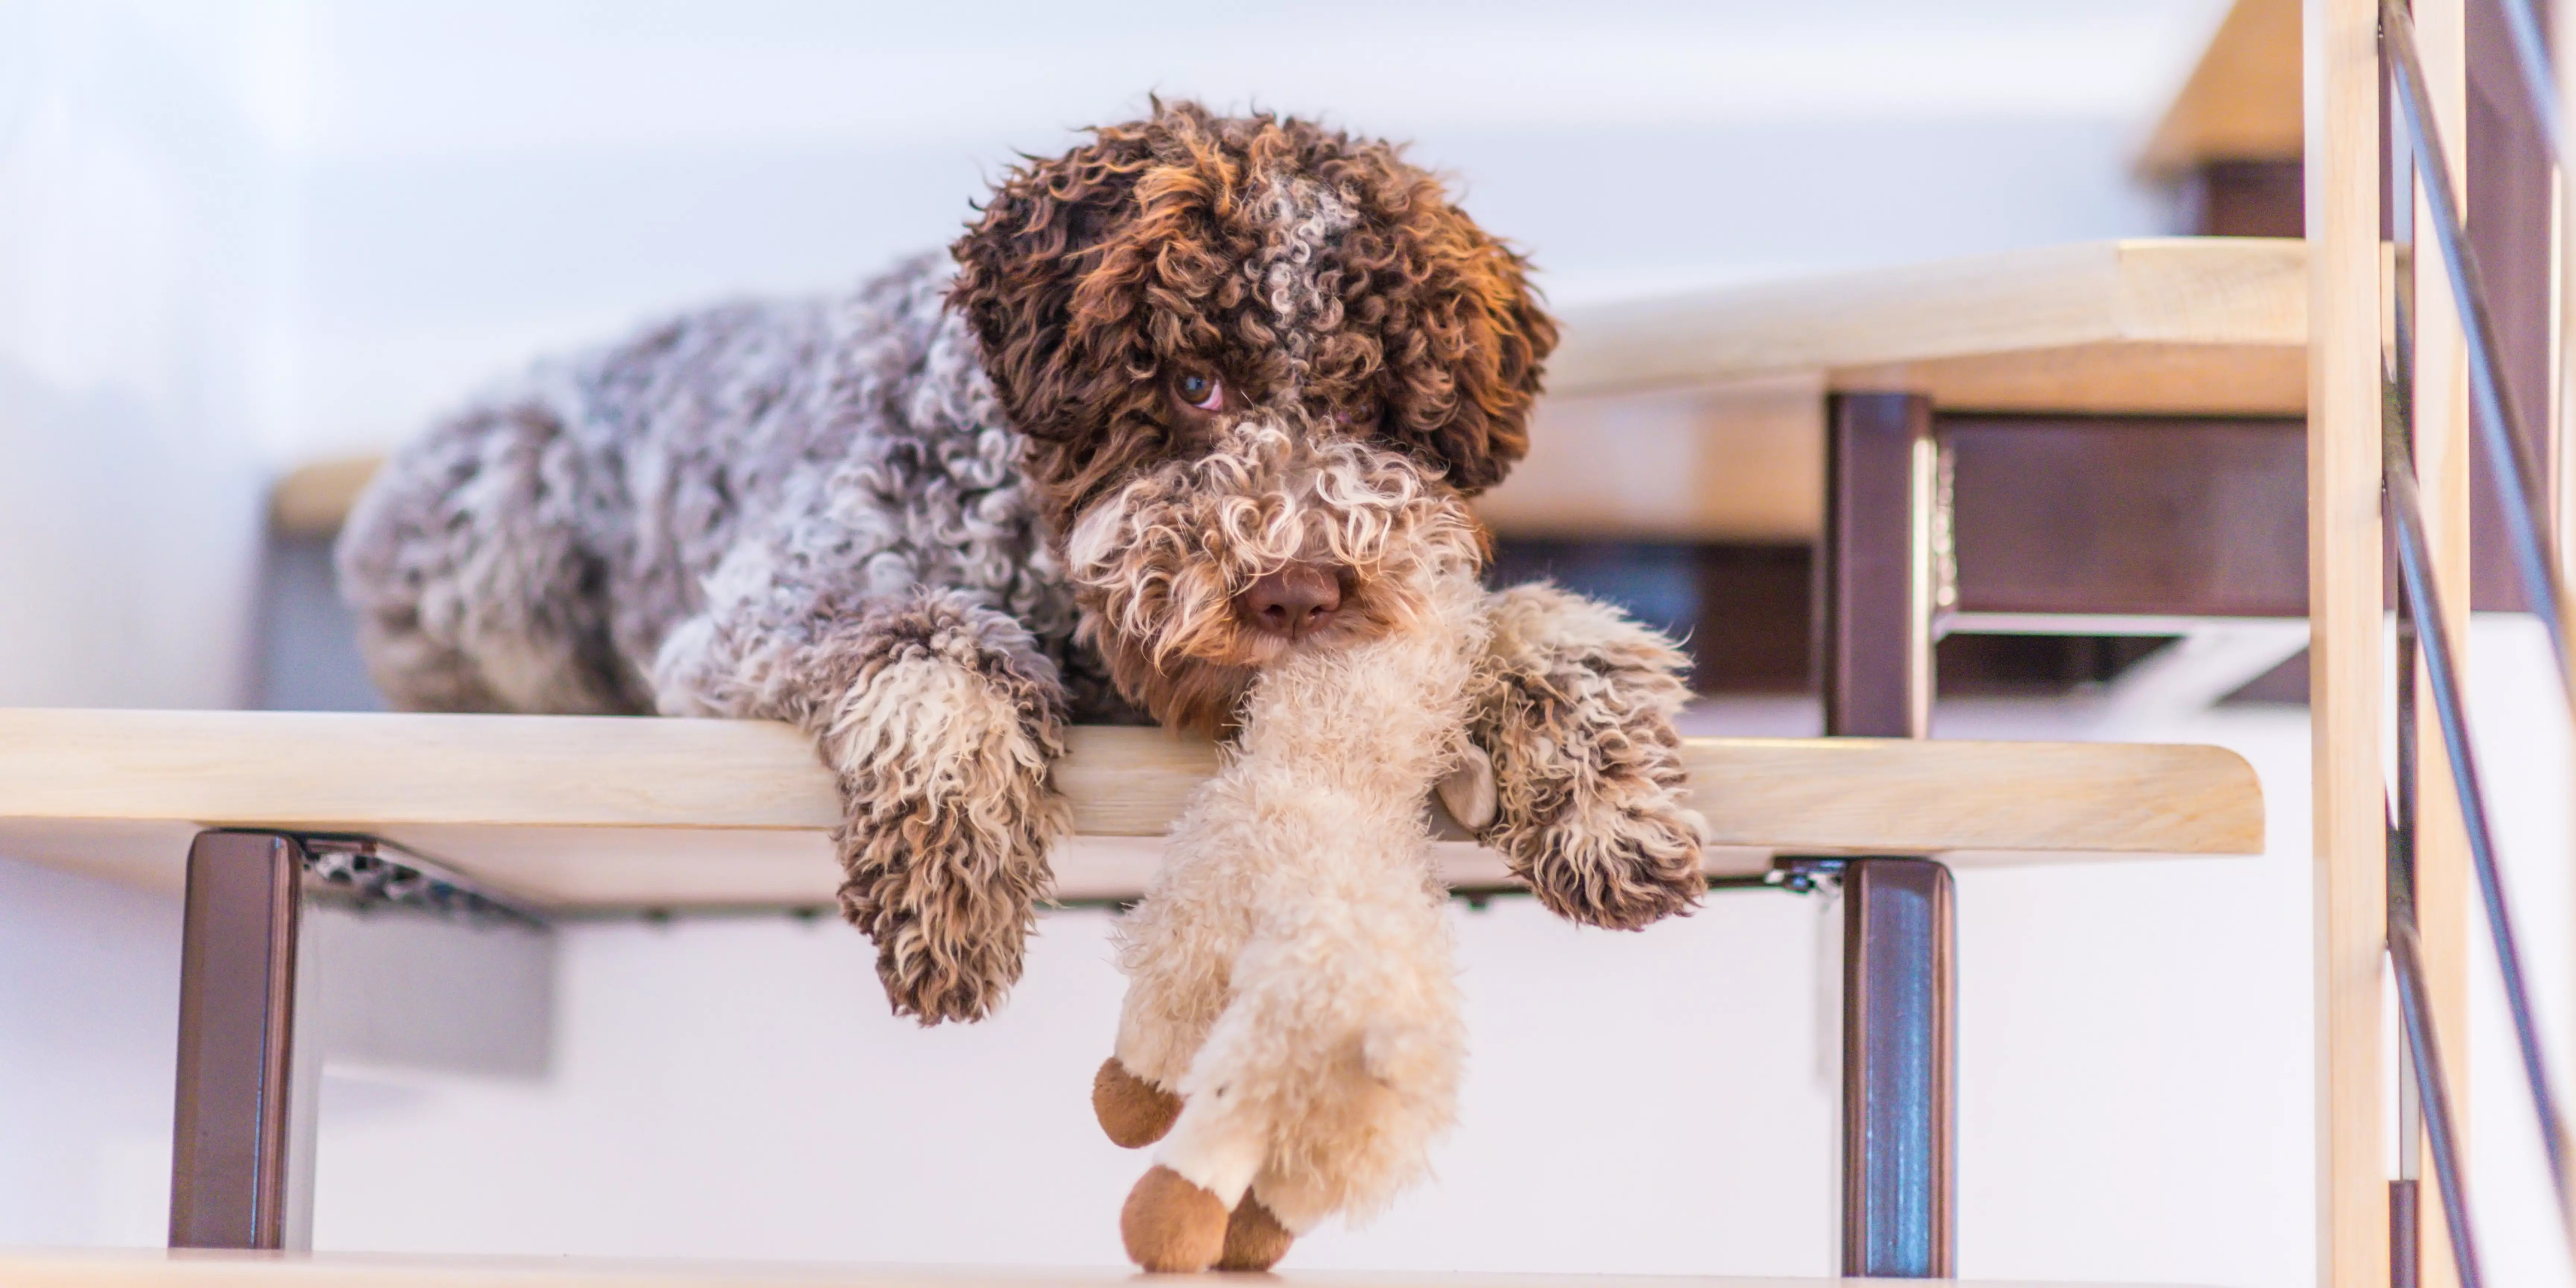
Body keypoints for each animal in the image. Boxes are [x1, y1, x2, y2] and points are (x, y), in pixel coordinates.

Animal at [342, 100, 1710, 1247]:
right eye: (1193, 384)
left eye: (1373, 406)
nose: (1295, 594)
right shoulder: (774, 604)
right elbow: (940, 642)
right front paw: (952, 884)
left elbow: (1510, 632)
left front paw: (1606, 785)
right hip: (504, 520)